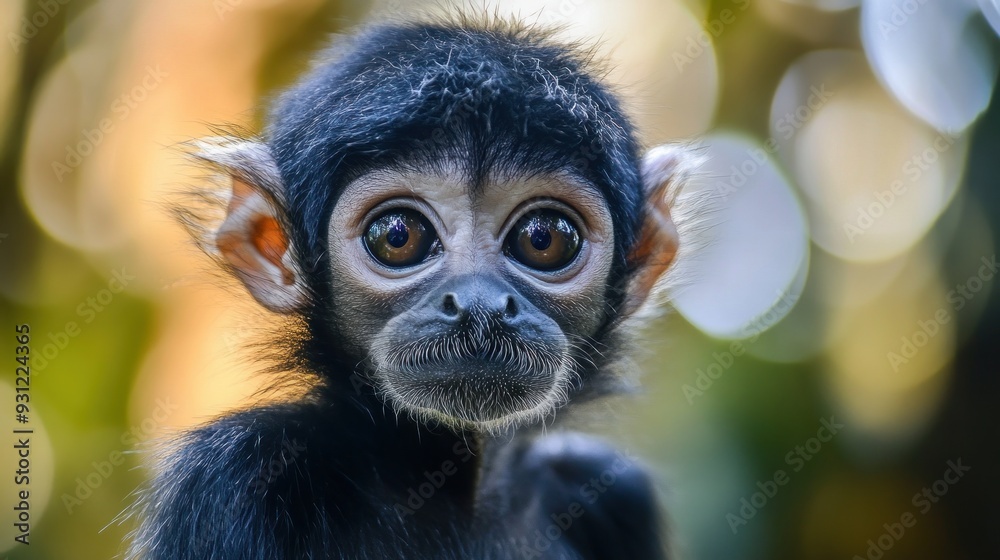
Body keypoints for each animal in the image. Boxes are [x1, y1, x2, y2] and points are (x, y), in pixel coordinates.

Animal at [125, 17, 693, 560]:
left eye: (543, 238)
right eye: (398, 236)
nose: (480, 305)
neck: (455, 487)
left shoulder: (609, 489)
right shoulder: (231, 474)